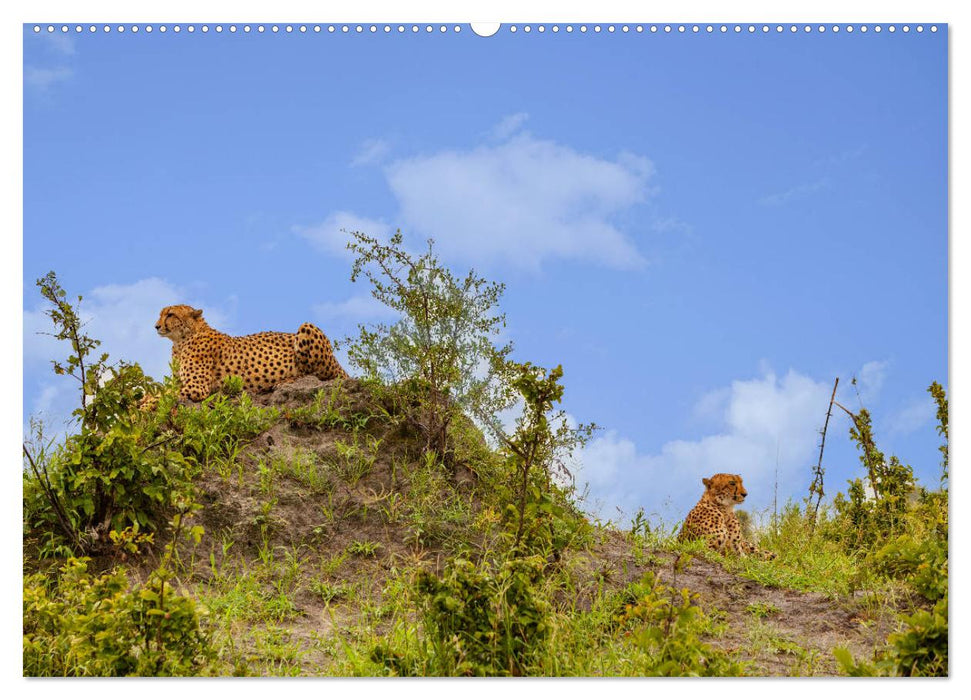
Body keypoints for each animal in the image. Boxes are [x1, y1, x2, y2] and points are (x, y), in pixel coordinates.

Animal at [152, 304, 350, 402]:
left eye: (170, 314)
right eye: (161, 314)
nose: (156, 326)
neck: (181, 340)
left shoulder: (196, 387)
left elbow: (158, 398)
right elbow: (158, 394)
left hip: (306, 327)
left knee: (319, 374)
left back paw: (285, 381)